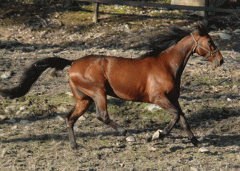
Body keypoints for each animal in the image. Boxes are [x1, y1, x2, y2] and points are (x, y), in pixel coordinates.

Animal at [0, 22, 224, 150]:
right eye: (210, 42)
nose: (221, 61)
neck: (167, 65)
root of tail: (72, 63)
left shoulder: (173, 99)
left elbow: (183, 118)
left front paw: (197, 143)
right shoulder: (158, 98)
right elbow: (177, 116)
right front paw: (157, 135)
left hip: (84, 99)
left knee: (70, 118)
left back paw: (74, 146)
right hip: (98, 93)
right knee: (102, 116)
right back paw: (128, 135)